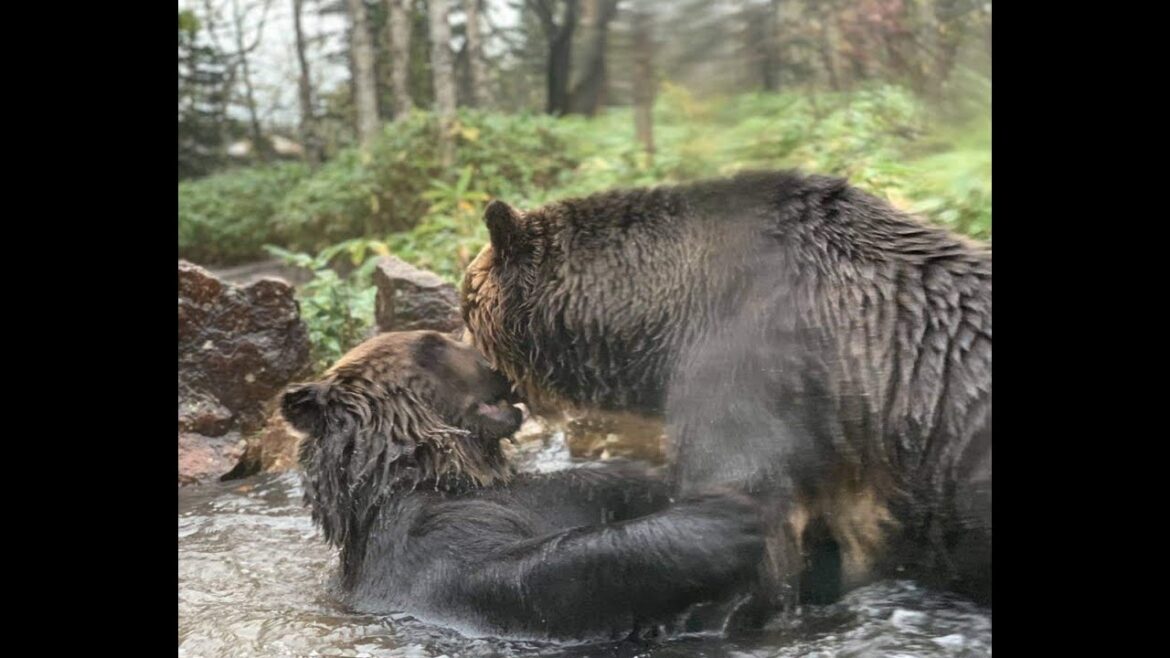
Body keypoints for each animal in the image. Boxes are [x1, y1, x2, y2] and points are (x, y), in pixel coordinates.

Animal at [280, 329, 767, 641]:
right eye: (431, 343)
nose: (496, 365)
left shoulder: (548, 491)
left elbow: (608, 483)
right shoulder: (424, 540)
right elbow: (514, 573)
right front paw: (727, 517)